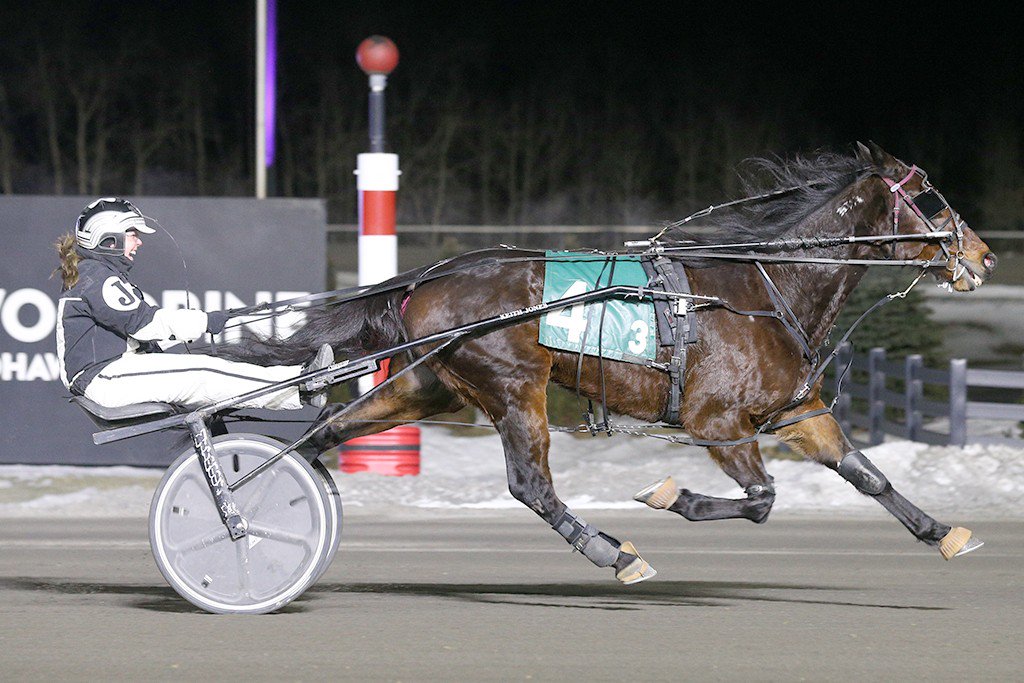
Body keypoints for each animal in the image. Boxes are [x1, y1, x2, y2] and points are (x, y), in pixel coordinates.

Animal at [228, 141, 995, 585]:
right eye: (930, 198)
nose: (985, 256)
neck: (761, 287)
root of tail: (433, 276)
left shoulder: (796, 410)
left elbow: (866, 473)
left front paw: (942, 531)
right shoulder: (716, 421)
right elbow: (761, 499)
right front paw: (670, 496)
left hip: (428, 385)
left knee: (325, 430)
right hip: (515, 386)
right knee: (531, 485)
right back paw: (614, 553)